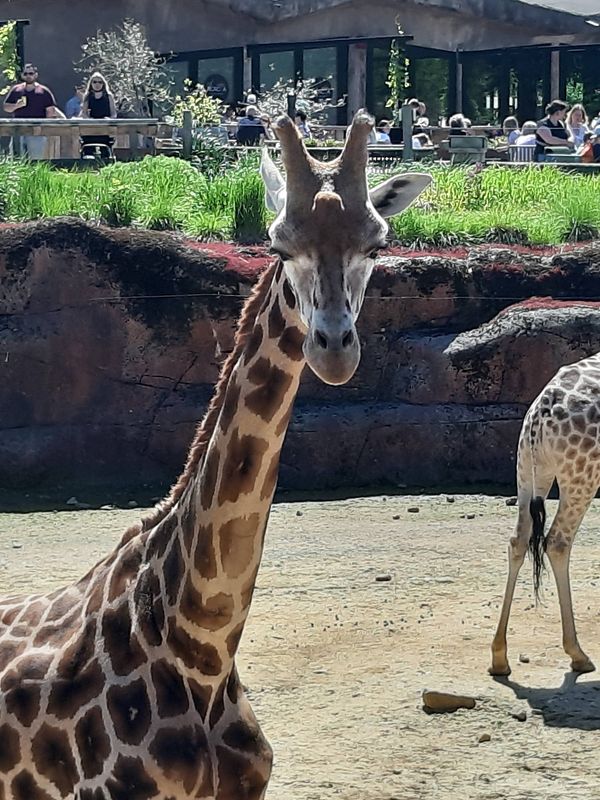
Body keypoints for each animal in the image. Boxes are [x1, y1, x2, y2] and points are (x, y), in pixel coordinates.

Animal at [490, 354, 600, 680]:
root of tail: (540, 414)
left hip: (527, 468)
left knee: (518, 540)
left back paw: (499, 657)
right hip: (581, 476)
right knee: (557, 542)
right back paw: (578, 654)